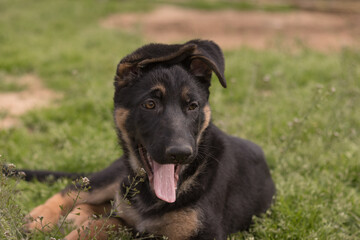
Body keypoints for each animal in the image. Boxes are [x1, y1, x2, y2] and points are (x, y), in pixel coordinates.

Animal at [23, 39, 274, 240]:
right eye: (150, 104)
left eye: (193, 106)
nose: (181, 153)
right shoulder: (131, 219)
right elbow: (106, 221)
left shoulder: (203, 233)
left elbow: (108, 221)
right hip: (115, 176)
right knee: (75, 189)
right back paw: (40, 217)